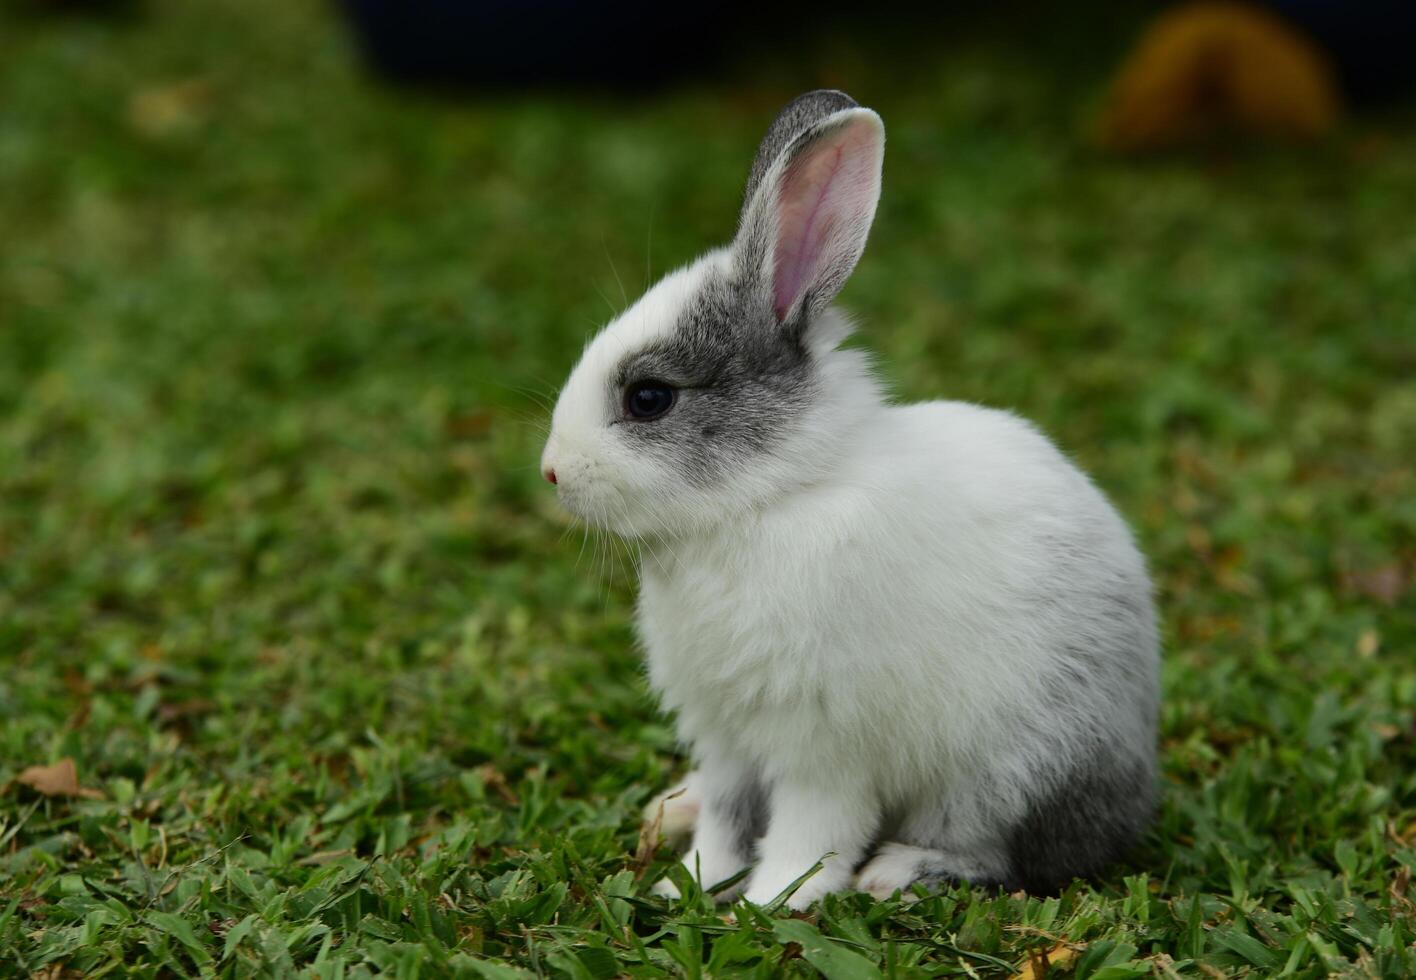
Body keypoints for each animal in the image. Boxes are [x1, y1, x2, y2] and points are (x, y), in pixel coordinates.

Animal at [540, 92, 1161, 912]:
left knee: (998, 855)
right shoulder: (728, 738)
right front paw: (690, 885)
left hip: (1008, 776)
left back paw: (897, 873)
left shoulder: (823, 747)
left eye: (649, 398)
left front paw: (774, 903)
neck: (772, 498)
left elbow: (813, 832)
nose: (550, 471)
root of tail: (1133, 799)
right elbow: (728, 821)